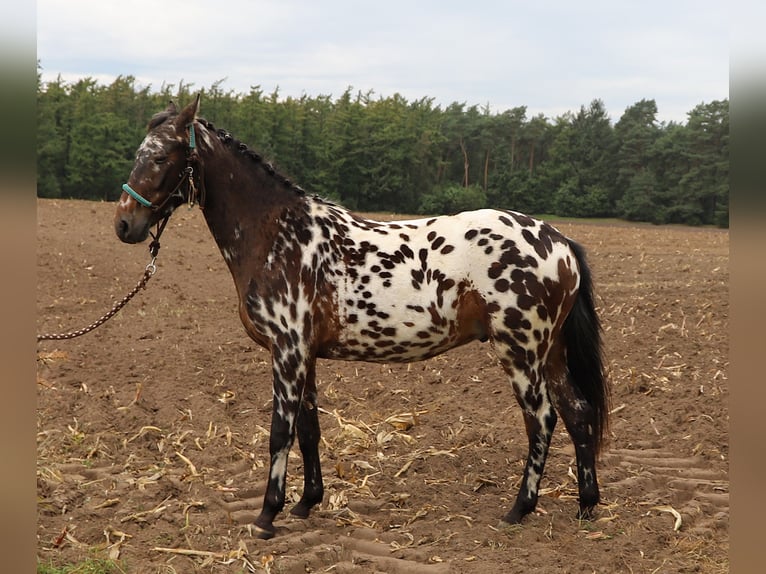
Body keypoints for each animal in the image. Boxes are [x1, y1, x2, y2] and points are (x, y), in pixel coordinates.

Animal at [114, 95, 609, 539]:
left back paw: (519, 509)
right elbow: (308, 430)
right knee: (578, 414)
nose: (124, 225)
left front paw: (267, 515)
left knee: (542, 418)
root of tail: (561, 243)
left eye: (159, 156)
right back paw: (586, 505)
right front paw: (305, 503)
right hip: (551, 353)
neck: (278, 234)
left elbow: (280, 432)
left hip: (521, 352)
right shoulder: (304, 355)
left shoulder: (287, 351)